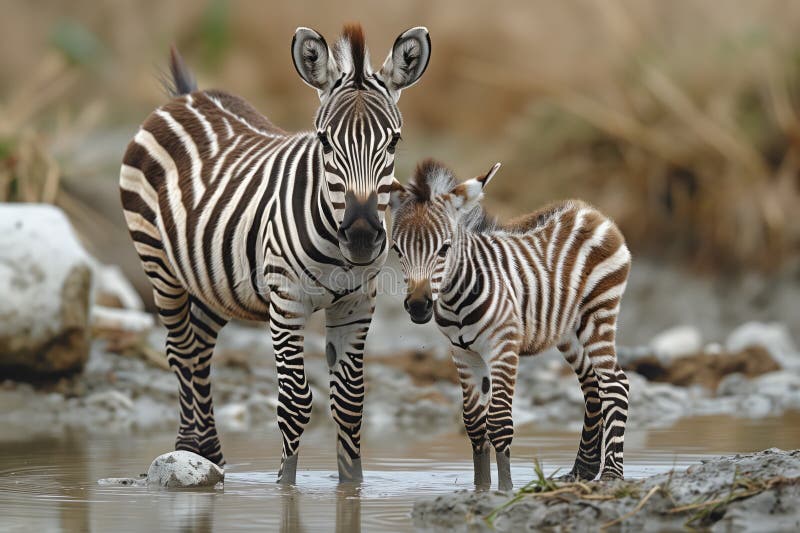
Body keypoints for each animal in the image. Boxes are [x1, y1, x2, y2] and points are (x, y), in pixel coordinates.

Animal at [117, 23, 432, 482]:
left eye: (393, 142)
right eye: (325, 142)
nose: (360, 237)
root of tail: (188, 96)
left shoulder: (356, 305)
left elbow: (350, 402)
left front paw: (352, 485)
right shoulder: (287, 304)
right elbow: (295, 403)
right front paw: (285, 484)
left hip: (214, 280)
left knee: (200, 350)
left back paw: (208, 453)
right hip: (159, 265)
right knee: (181, 350)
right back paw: (189, 448)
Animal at [392, 161, 632, 490]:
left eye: (444, 249)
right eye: (396, 250)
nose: (418, 306)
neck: (456, 298)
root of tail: (587, 210)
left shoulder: (502, 346)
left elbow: (499, 423)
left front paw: (505, 490)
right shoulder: (463, 353)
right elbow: (474, 423)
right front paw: (480, 488)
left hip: (598, 313)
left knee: (615, 383)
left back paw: (611, 474)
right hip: (569, 330)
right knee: (592, 386)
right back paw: (581, 470)